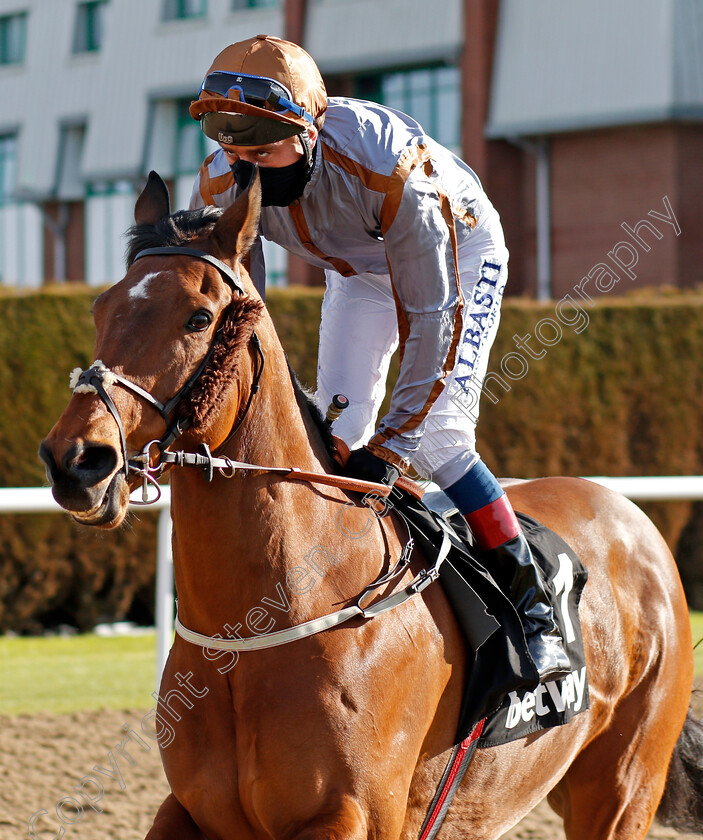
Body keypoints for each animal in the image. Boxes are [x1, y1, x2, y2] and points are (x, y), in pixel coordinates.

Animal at [40, 172, 703, 840]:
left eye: (198, 317)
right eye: (102, 307)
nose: (77, 460)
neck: (269, 619)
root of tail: (632, 517)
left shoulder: (351, 812)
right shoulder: (190, 810)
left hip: (621, 788)